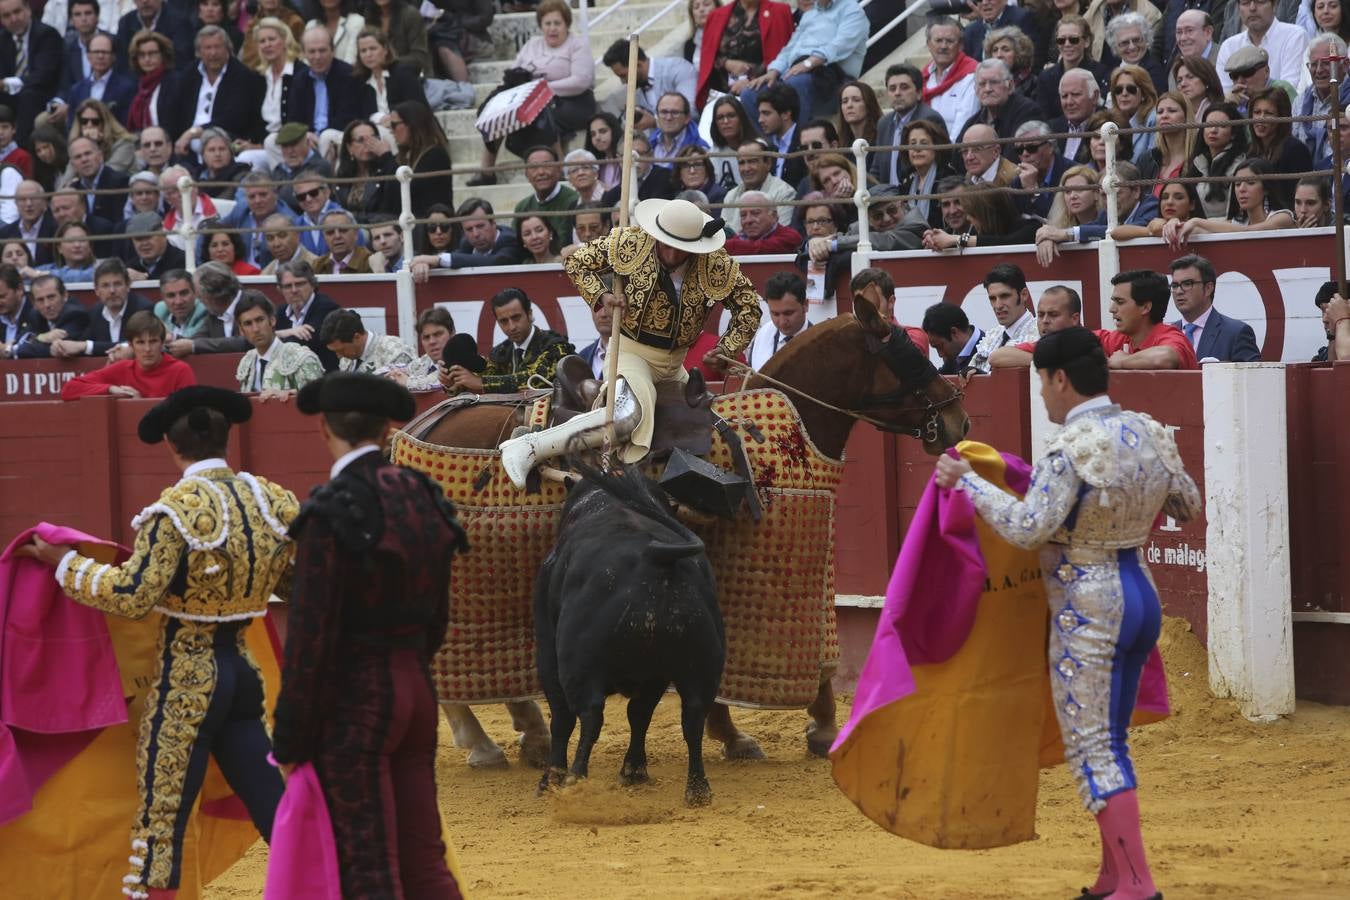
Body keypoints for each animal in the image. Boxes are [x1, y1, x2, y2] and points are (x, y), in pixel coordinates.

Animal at [415, 296, 966, 766]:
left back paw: (524, 734)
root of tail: (427, 423)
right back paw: (485, 742)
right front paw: (803, 731)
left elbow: (817, 653)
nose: (958, 420)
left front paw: (789, 730)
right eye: (908, 356)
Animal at [537, 469, 729, 804]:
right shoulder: (655, 677)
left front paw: (550, 779)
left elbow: (562, 718)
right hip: (700, 665)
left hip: (578, 666)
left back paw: (574, 781)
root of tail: (657, 556)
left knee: (588, 716)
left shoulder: (548, 650)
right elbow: (639, 714)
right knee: (691, 717)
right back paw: (697, 790)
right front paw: (634, 769)